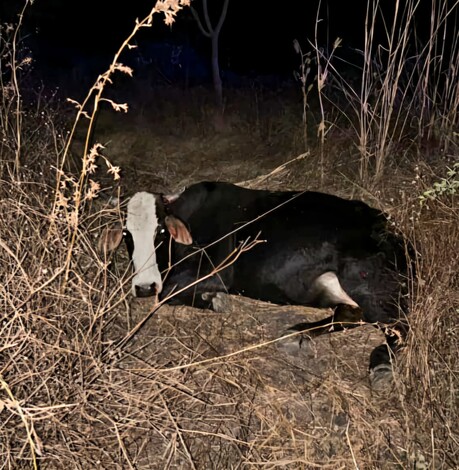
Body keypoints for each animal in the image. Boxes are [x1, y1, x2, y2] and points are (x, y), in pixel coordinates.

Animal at [100, 182, 414, 388]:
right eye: (127, 234)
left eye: (161, 231)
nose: (144, 286)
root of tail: (395, 231)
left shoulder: (218, 272)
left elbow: (167, 293)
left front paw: (216, 301)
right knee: (349, 314)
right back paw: (295, 334)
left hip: (364, 280)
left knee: (399, 326)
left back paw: (381, 367)